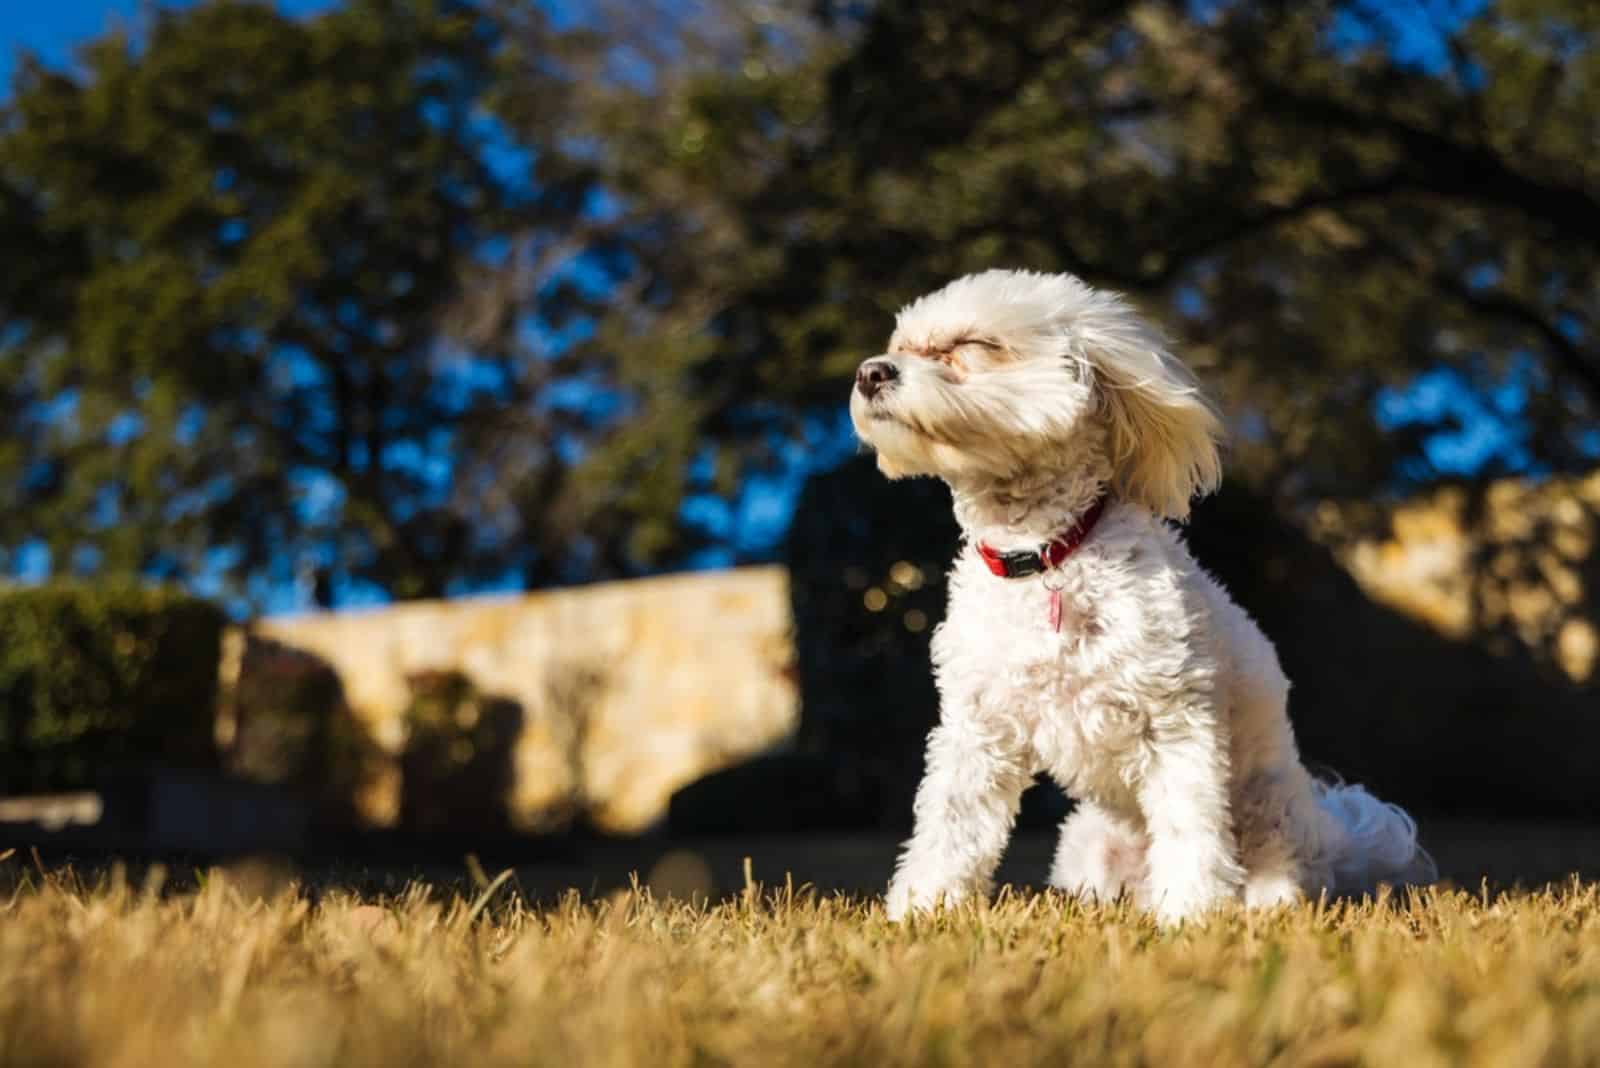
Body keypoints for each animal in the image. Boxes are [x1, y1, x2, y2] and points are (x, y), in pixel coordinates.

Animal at [851, 268, 1440, 927]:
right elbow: (950, 824)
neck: (1047, 553)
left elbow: (1190, 825)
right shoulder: (978, 727)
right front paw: (923, 910)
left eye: (974, 344)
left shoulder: (1176, 721)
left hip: (1268, 811)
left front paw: (1188, 914)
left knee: (1273, 866)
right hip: (1085, 848)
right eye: (902, 346)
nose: (870, 372)